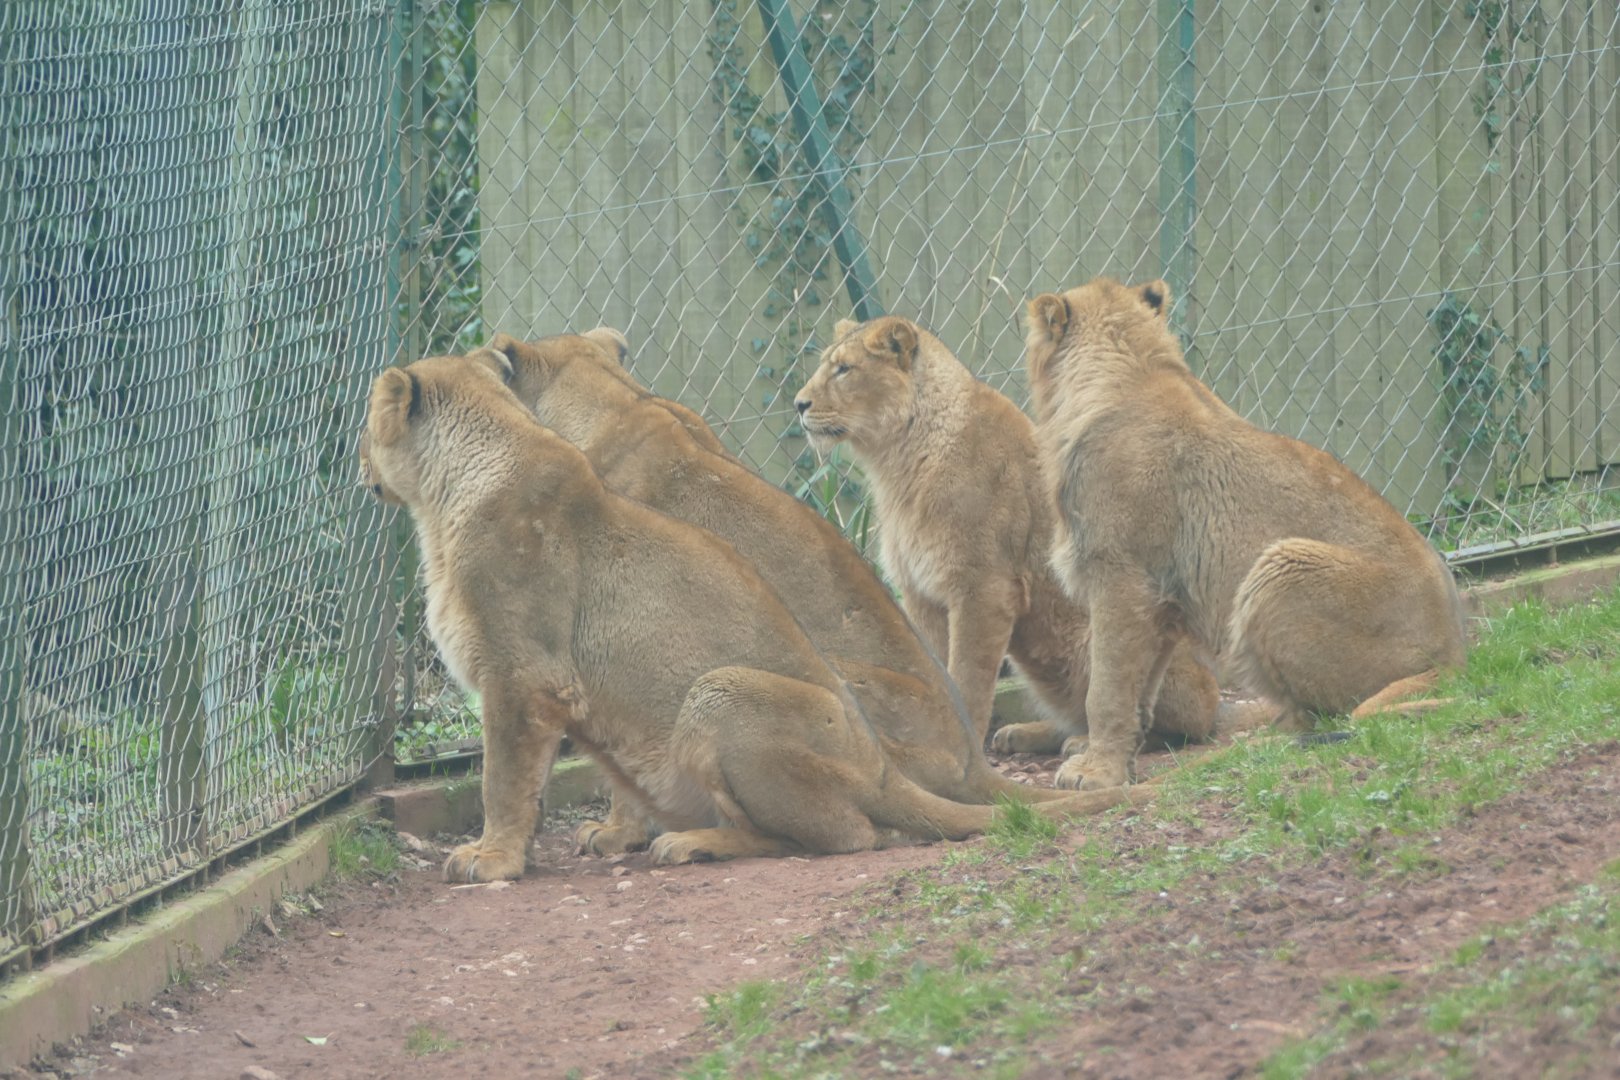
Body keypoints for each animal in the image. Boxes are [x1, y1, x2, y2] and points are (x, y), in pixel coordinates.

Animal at [360, 351, 1144, 878]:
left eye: (367, 424)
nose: (355, 466)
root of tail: (882, 768)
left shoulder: (523, 676)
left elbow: (501, 779)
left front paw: (492, 857)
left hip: (721, 693)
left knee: (846, 835)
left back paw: (692, 844)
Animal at [792, 315, 1221, 789]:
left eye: (844, 369)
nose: (798, 404)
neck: (897, 462)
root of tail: (1215, 697)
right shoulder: (920, 593)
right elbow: (932, 672)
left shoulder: (984, 588)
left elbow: (966, 678)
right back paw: (1026, 734)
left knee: (1171, 723)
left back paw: (1085, 746)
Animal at [1023, 276, 1468, 789]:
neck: (1132, 370)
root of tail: (1454, 652)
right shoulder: (1161, 601)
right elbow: (1142, 690)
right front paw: (1118, 755)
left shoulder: (1121, 578)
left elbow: (1107, 687)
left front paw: (1096, 772)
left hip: (1281, 566)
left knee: (1332, 715)